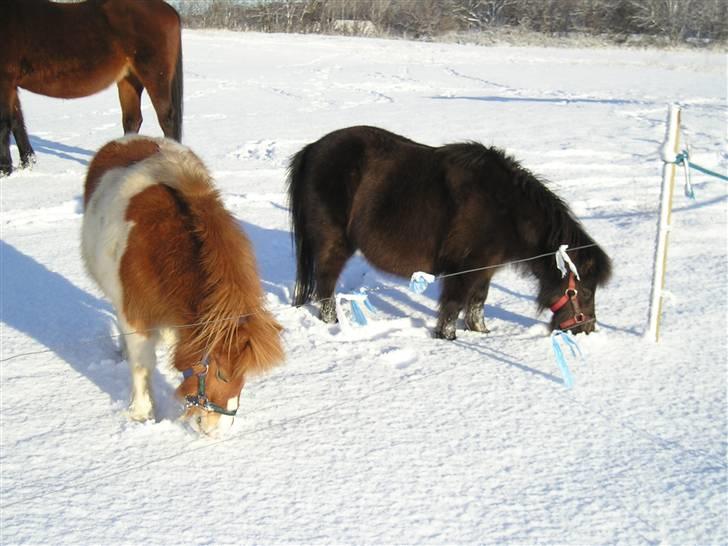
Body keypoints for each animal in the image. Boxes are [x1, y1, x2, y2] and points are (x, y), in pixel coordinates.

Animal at [0, 0, 182, 174]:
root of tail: (169, 9)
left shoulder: (5, 81)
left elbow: (4, 123)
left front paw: (5, 170)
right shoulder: (11, 85)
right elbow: (17, 123)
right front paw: (26, 164)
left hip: (154, 76)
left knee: (166, 118)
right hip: (130, 79)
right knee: (132, 119)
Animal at [81, 136, 282, 434]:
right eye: (222, 373)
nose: (218, 429)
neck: (161, 247)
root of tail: (128, 139)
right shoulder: (134, 313)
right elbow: (142, 365)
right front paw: (141, 414)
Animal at [288, 125, 612, 338]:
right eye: (584, 290)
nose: (586, 329)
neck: (506, 207)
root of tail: (311, 150)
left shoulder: (485, 268)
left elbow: (478, 301)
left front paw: (481, 332)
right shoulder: (464, 268)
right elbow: (454, 304)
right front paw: (448, 337)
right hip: (334, 242)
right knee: (326, 283)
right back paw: (333, 323)